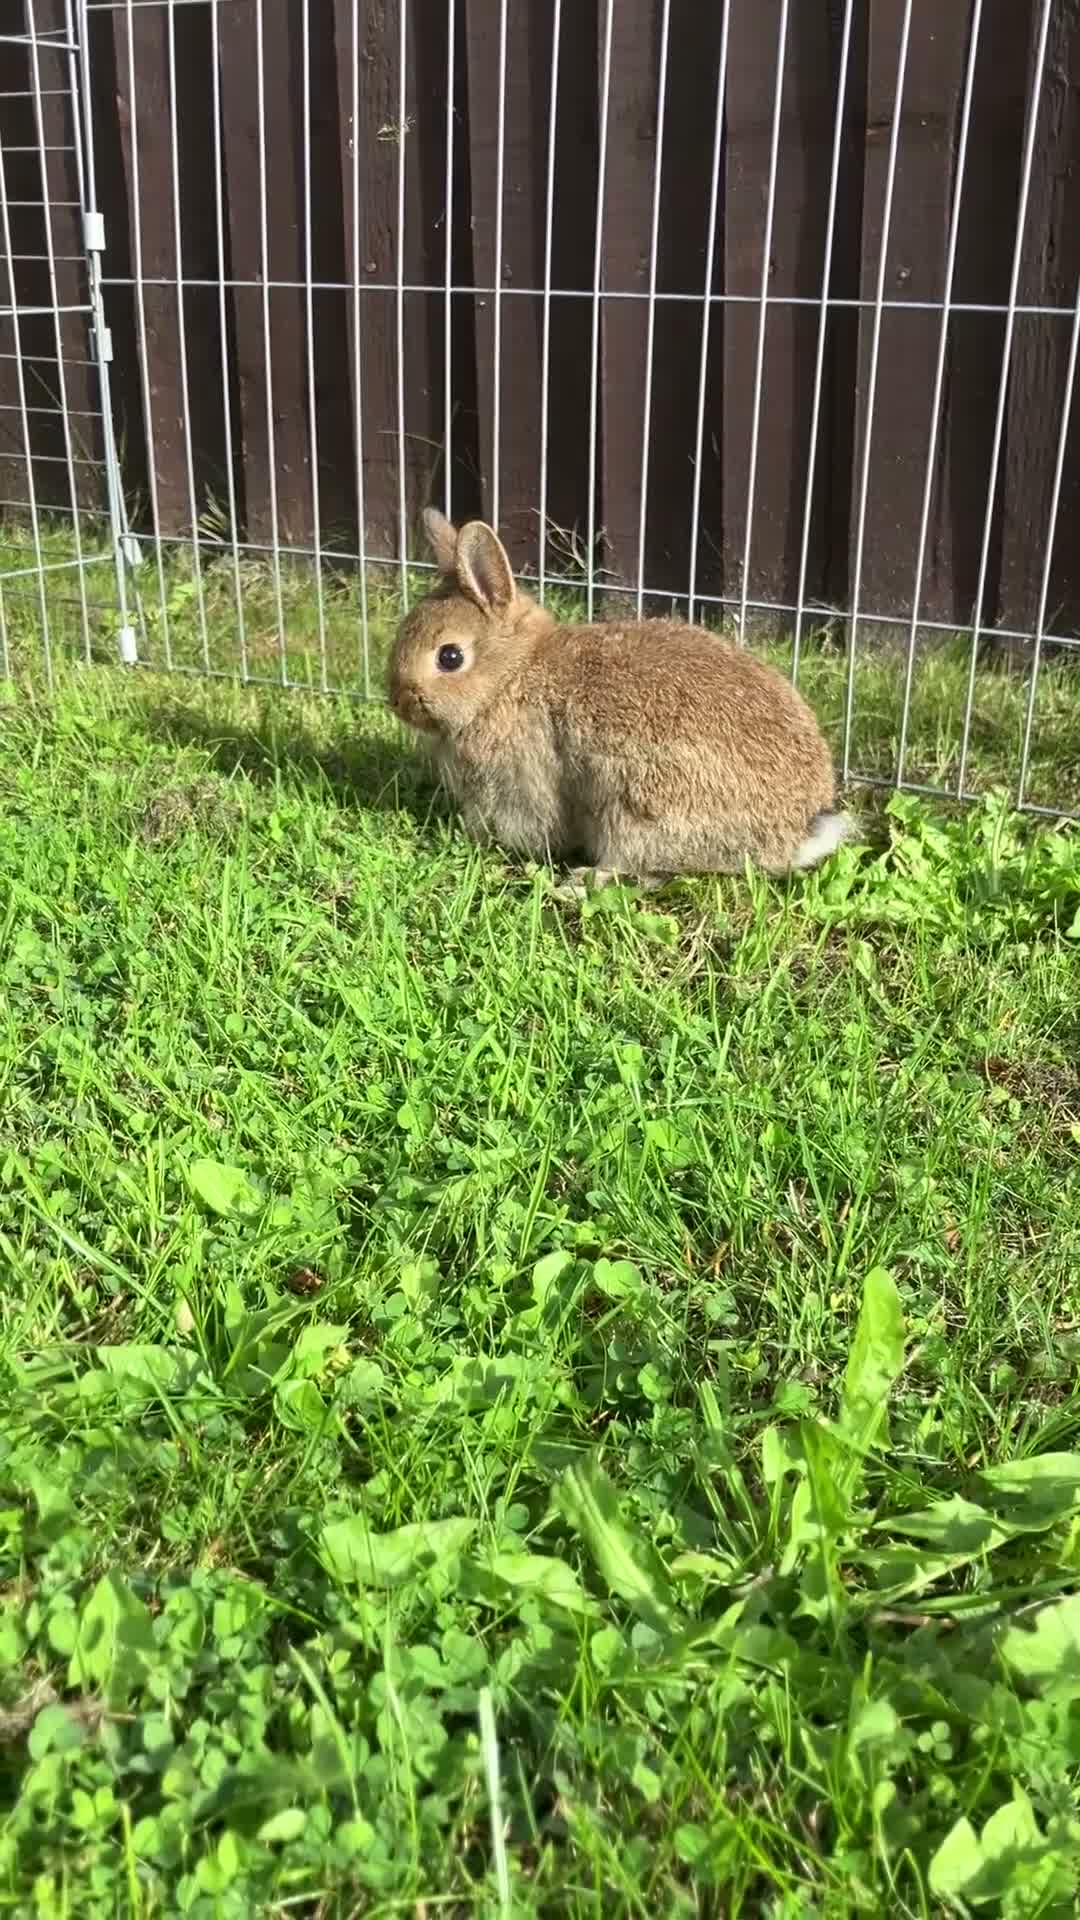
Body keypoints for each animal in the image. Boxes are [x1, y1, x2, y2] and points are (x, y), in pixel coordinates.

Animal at [389, 508, 853, 888]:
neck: (511, 675)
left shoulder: (520, 779)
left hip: (637, 809)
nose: (396, 701)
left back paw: (581, 882)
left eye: (450, 657)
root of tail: (794, 835)